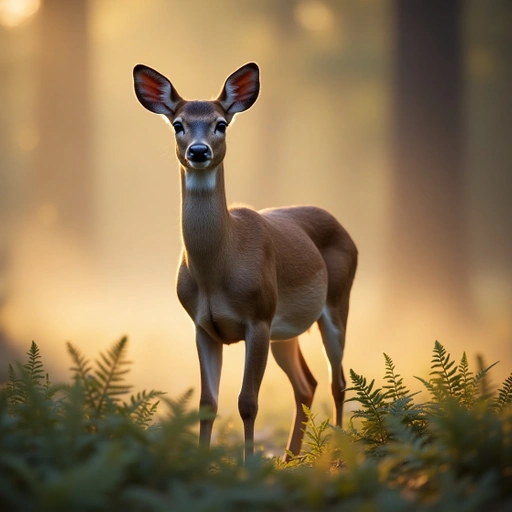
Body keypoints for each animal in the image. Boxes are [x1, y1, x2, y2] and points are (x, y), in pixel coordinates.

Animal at [132, 62, 356, 462]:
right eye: (178, 125)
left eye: (221, 123)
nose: (199, 151)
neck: (217, 270)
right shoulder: (202, 326)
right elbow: (207, 402)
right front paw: (203, 463)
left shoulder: (258, 317)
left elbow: (248, 402)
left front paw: (249, 464)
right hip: (285, 330)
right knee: (307, 383)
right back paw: (290, 457)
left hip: (335, 303)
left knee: (338, 380)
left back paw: (335, 455)